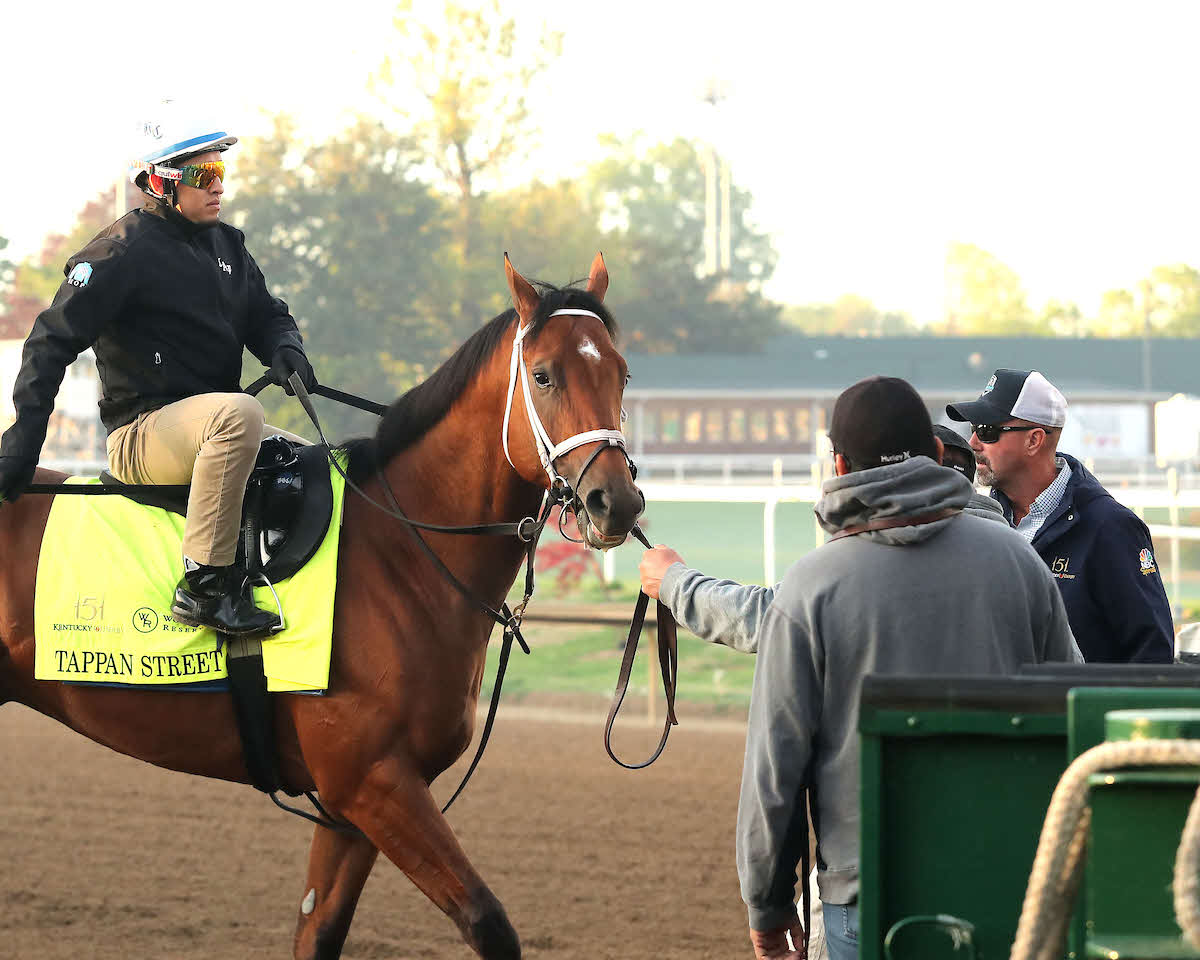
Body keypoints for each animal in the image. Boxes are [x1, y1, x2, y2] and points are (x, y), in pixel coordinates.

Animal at [0, 253, 644, 960]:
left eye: (620, 371)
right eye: (545, 374)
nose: (617, 501)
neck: (400, 550)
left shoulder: (350, 808)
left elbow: (319, 930)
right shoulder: (373, 782)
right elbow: (487, 922)